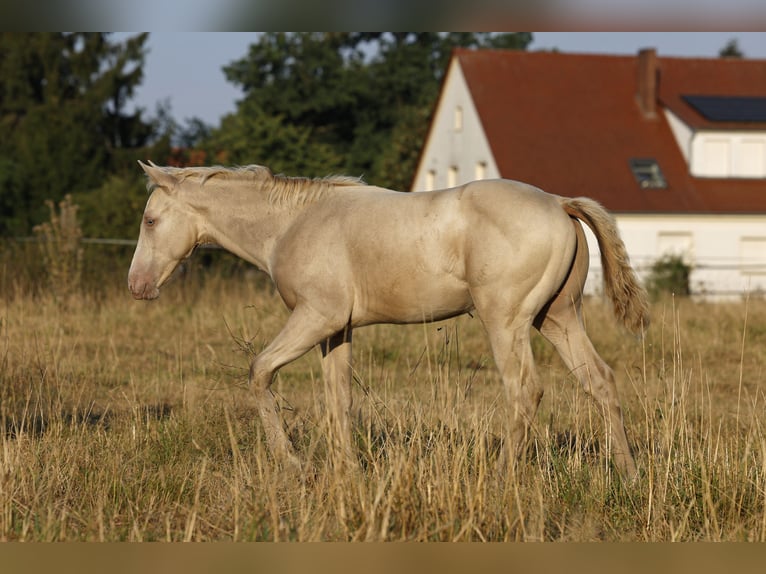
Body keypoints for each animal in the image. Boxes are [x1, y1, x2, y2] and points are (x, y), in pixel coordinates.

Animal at [128, 161, 649, 478]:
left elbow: (259, 372)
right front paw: (347, 471)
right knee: (600, 381)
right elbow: (338, 399)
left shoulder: (315, 318)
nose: (138, 286)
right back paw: (626, 474)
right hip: (558, 319)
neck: (291, 224)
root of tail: (559, 203)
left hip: (507, 323)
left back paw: (503, 476)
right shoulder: (336, 331)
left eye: (150, 221)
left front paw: (292, 463)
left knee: (525, 390)